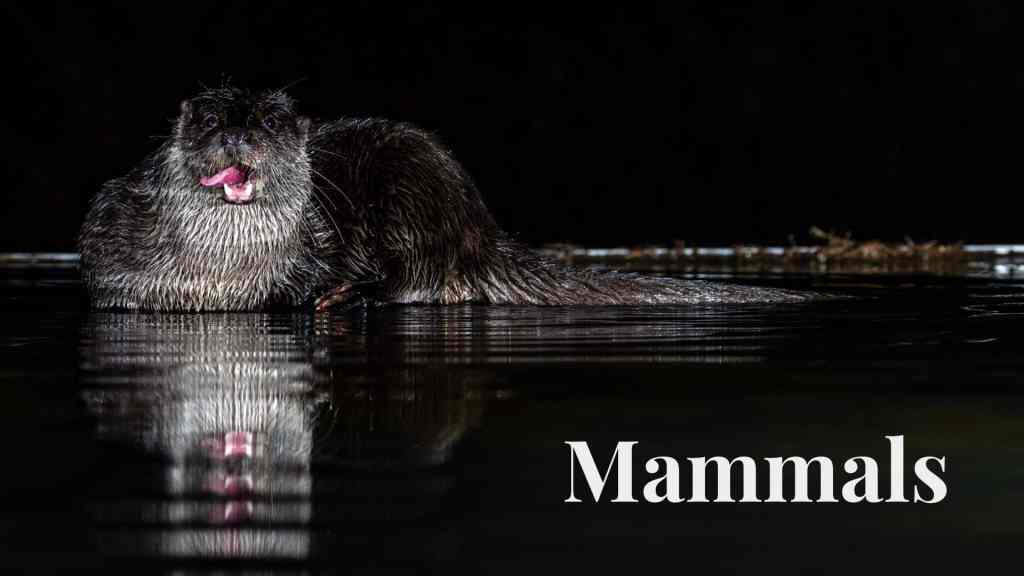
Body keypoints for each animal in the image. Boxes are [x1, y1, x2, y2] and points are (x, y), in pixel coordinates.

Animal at [79, 86, 808, 311]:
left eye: (271, 120)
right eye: (207, 118)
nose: (236, 133)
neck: (219, 281)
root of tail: (479, 226)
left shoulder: (320, 243)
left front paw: (324, 294)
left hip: (414, 182)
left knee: (417, 282)